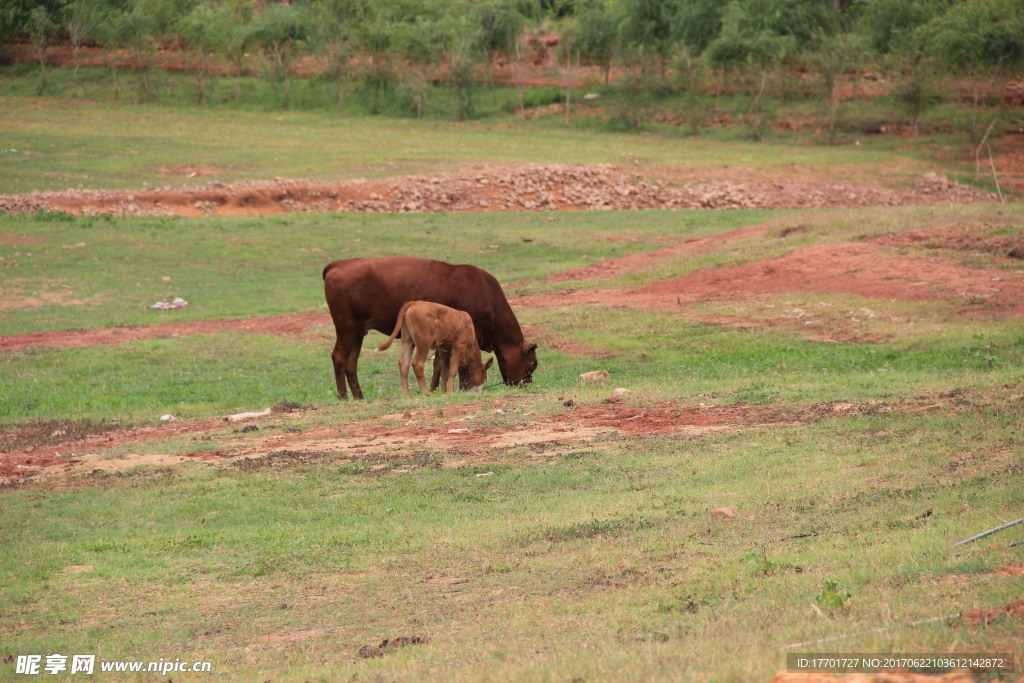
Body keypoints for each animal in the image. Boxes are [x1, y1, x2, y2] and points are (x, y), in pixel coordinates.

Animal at [323, 255, 540, 397]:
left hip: (359, 332)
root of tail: (338, 264)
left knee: (352, 363)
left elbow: (440, 365)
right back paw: (343, 396)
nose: (527, 384)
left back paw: (359, 396)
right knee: (339, 357)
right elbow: (452, 366)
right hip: (346, 328)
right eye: (533, 363)